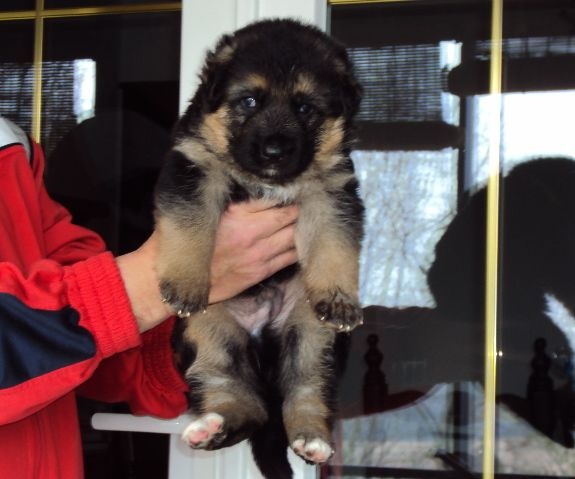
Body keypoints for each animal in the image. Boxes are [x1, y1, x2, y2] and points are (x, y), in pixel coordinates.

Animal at [153, 19, 364, 478]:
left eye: (305, 109)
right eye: (249, 100)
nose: (273, 151)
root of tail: (260, 333)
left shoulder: (332, 189)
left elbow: (335, 244)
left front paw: (340, 298)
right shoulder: (193, 167)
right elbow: (190, 223)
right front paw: (185, 282)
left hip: (310, 331)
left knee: (304, 390)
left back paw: (312, 439)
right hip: (207, 331)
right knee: (238, 396)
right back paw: (212, 427)